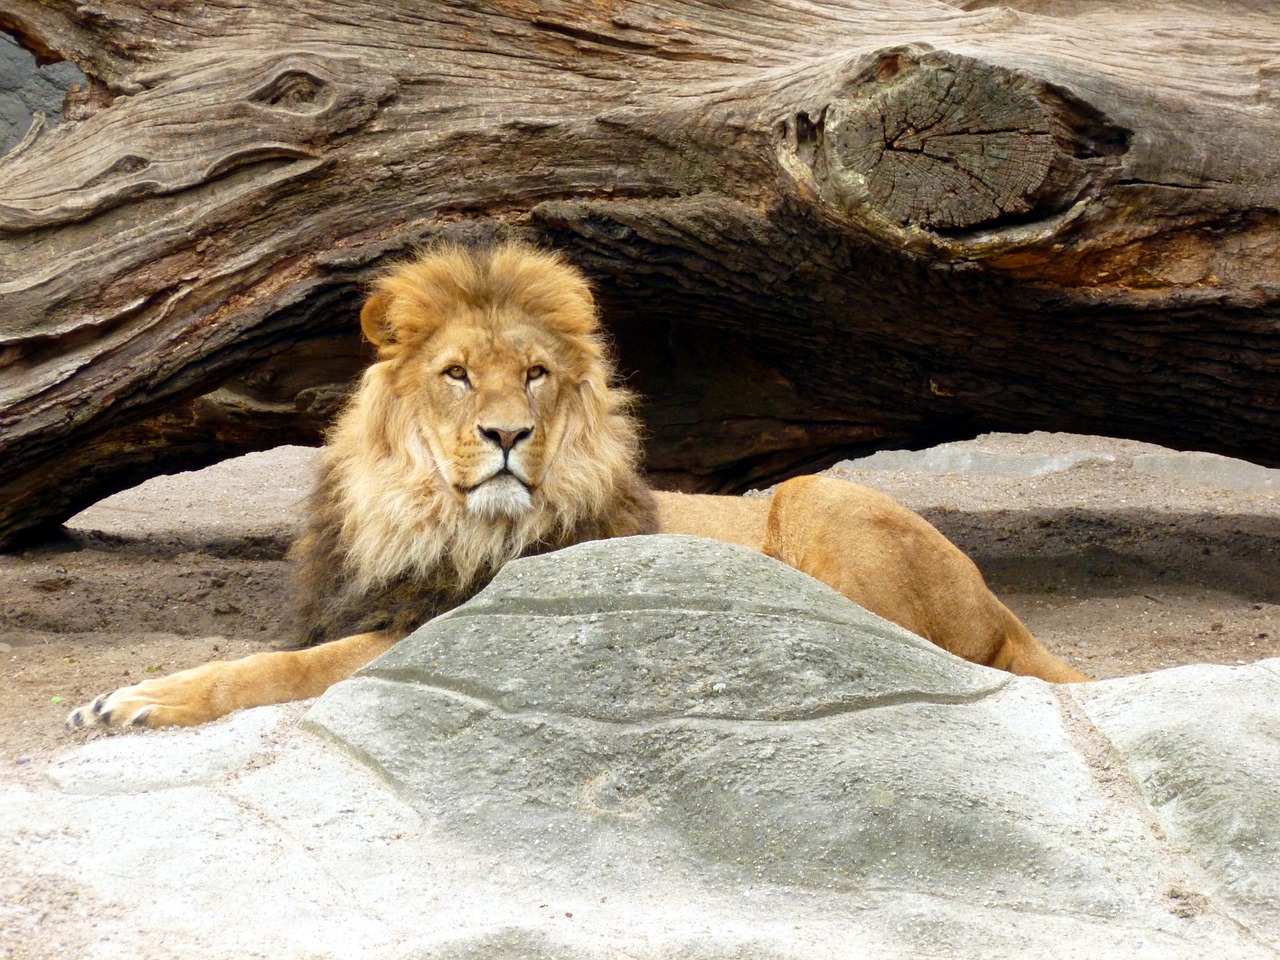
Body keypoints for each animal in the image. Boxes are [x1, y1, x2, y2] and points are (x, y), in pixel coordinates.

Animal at [67, 245, 1090, 727]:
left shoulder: (437, 630)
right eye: (455, 375)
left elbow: (280, 670)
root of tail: (1000, 606)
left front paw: (138, 700)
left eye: (534, 376)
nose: (507, 437)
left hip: (817, 495)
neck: (428, 514)